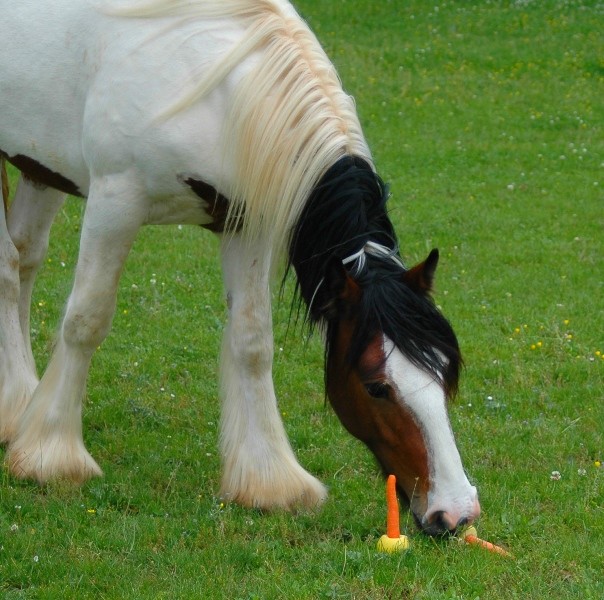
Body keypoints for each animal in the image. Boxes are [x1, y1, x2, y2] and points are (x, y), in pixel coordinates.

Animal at [1, 0, 482, 536]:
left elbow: (252, 343)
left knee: (26, 258)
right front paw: (52, 456)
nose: (456, 512)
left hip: (43, 168)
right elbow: (86, 321)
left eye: (446, 372)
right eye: (377, 386)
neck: (207, 82)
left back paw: (18, 407)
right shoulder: (115, 201)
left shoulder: (246, 223)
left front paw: (270, 482)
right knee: (9, 268)